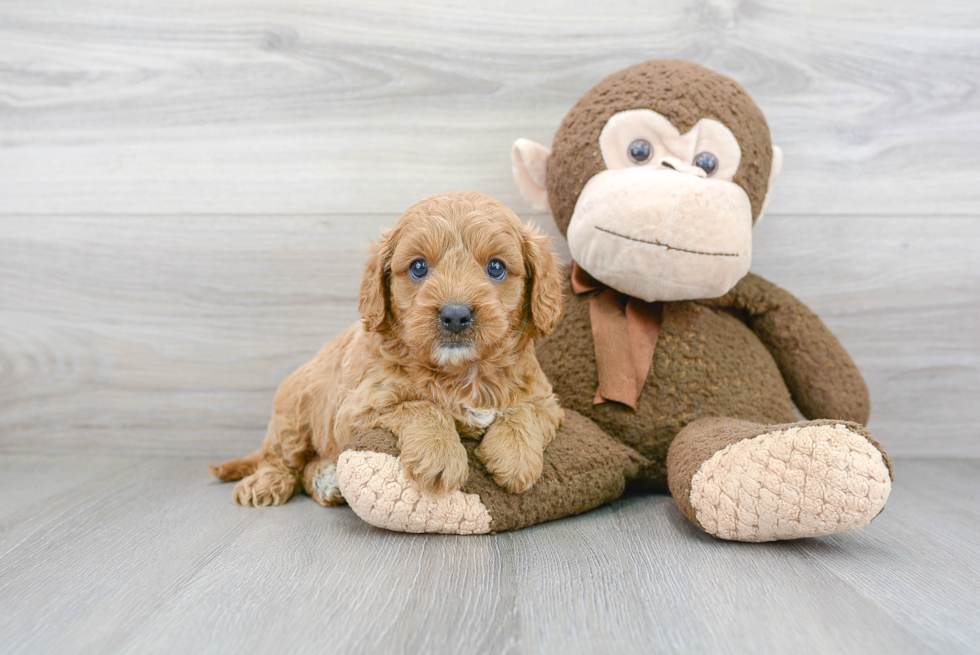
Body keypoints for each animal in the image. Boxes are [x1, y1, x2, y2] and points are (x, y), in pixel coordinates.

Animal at [212, 190, 568, 508]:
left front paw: (516, 457)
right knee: (281, 459)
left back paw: (327, 482)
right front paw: (440, 455)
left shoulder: (548, 402)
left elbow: (526, 411)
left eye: (496, 267)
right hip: (293, 416)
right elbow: (420, 406)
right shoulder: (359, 407)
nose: (455, 315)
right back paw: (266, 483)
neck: (462, 372)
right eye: (418, 267)